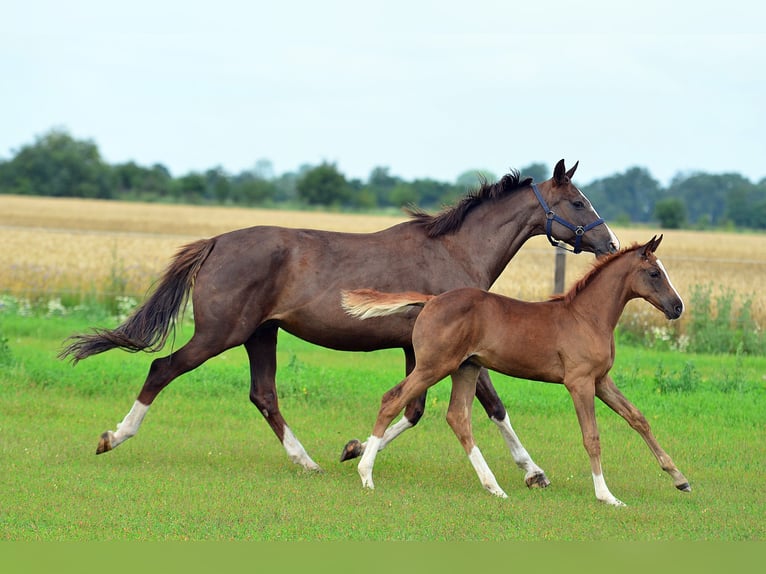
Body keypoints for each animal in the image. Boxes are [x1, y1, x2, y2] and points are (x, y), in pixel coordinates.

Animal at [63, 159, 620, 482]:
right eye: (577, 201)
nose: (611, 244)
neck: (454, 250)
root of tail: (216, 241)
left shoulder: (421, 349)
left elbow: (413, 410)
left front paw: (353, 449)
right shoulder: (453, 349)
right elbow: (492, 405)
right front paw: (533, 472)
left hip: (261, 335)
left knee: (263, 395)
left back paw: (305, 460)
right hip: (222, 333)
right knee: (163, 369)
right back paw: (113, 437)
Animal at [342, 236, 688, 506]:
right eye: (655, 273)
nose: (678, 307)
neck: (587, 317)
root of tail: (431, 300)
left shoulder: (601, 380)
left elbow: (637, 418)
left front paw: (680, 478)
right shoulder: (579, 383)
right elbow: (591, 436)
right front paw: (607, 495)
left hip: (466, 368)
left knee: (458, 418)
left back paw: (493, 486)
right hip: (434, 366)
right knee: (392, 399)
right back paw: (366, 473)